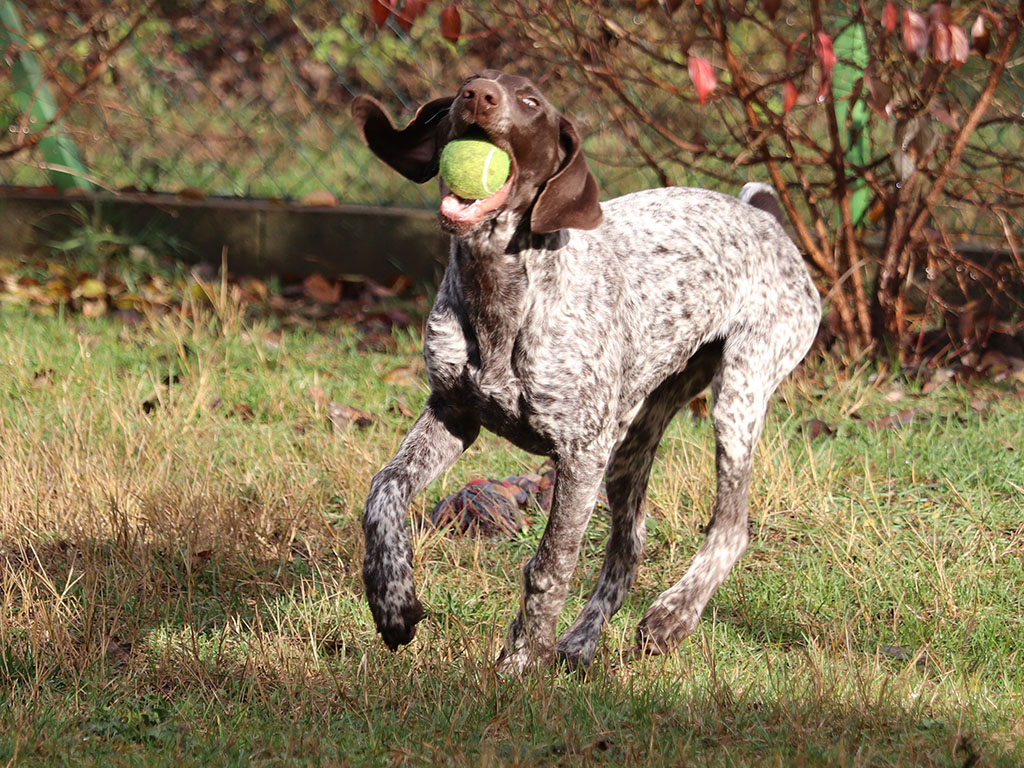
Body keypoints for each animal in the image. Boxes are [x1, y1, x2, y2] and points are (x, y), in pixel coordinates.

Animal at [348, 72, 819, 671]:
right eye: (463, 87)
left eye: (532, 102)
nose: (479, 95)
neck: (499, 290)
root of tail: (763, 215)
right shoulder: (453, 414)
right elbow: (383, 492)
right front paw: (392, 600)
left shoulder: (578, 453)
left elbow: (550, 565)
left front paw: (523, 662)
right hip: (630, 443)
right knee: (629, 546)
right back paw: (579, 642)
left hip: (739, 393)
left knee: (731, 528)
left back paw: (671, 616)